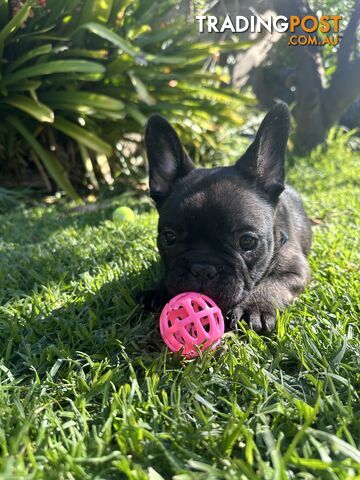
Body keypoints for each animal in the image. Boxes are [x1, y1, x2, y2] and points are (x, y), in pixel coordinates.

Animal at [142, 102, 310, 332]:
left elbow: (274, 284)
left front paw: (253, 307)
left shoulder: (294, 270)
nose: (202, 268)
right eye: (169, 237)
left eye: (247, 241)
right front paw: (157, 291)